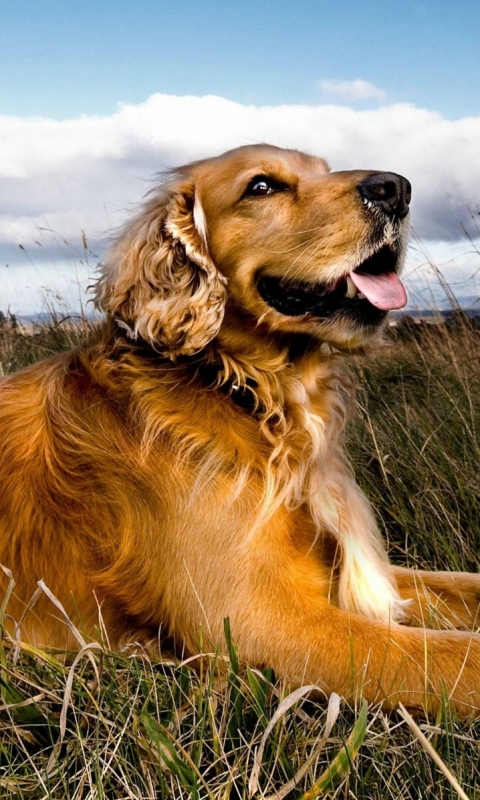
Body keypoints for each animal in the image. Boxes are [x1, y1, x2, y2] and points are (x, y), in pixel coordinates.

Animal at [0, 145, 480, 712]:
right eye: (262, 187)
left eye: (324, 169)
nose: (397, 188)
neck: (253, 397)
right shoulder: (261, 624)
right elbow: (461, 658)